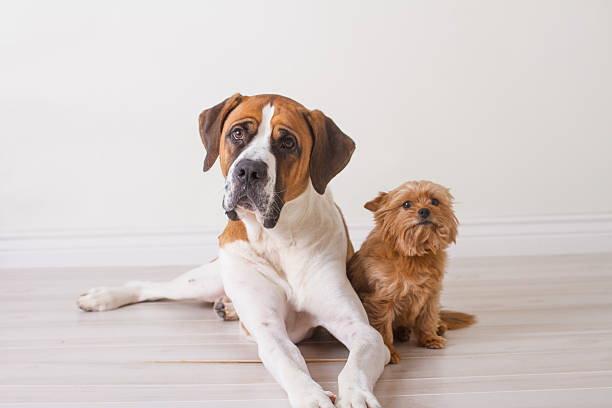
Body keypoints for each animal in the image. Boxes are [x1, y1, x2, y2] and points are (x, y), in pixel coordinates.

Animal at [76, 94, 390, 408]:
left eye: (288, 142)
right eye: (238, 133)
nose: (249, 169)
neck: (277, 238)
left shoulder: (363, 331)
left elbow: (355, 364)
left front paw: (356, 395)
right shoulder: (271, 332)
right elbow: (290, 364)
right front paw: (311, 398)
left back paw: (226, 307)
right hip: (204, 281)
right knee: (153, 286)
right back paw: (104, 296)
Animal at [350, 182, 474, 364]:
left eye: (435, 201)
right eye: (406, 204)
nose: (424, 211)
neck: (415, 254)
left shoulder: (431, 295)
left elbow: (427, 319)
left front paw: (429, 338)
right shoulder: (381, 301)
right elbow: (383, 328)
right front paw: (388, 352)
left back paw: (437, 326)